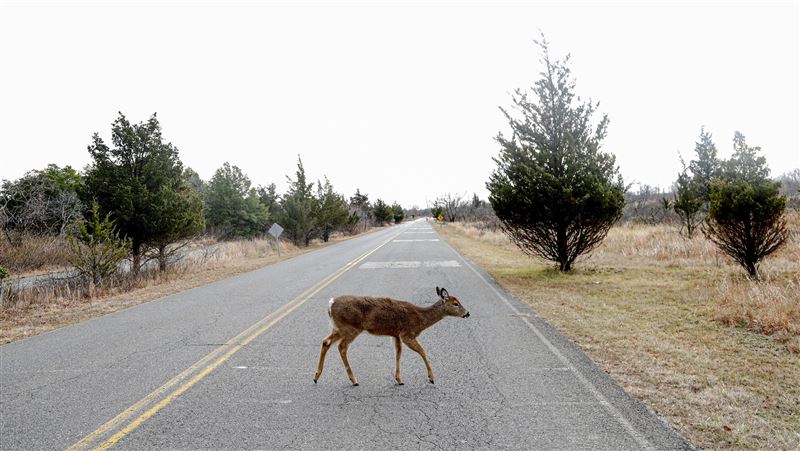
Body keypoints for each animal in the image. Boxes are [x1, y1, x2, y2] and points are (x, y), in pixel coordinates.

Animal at [313, 286, 469, 386]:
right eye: (456, 303)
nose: (467, 313)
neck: (420, 319)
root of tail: (331, 304)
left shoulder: (396, 334)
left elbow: (398, 354)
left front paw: (399, 379)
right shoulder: (407, 333)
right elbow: (423, 351)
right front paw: (431, 378)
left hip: (339, 328)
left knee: (326, 341)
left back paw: (316, 377)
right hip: (351, 328)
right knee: (342, 347)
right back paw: (354, 380)